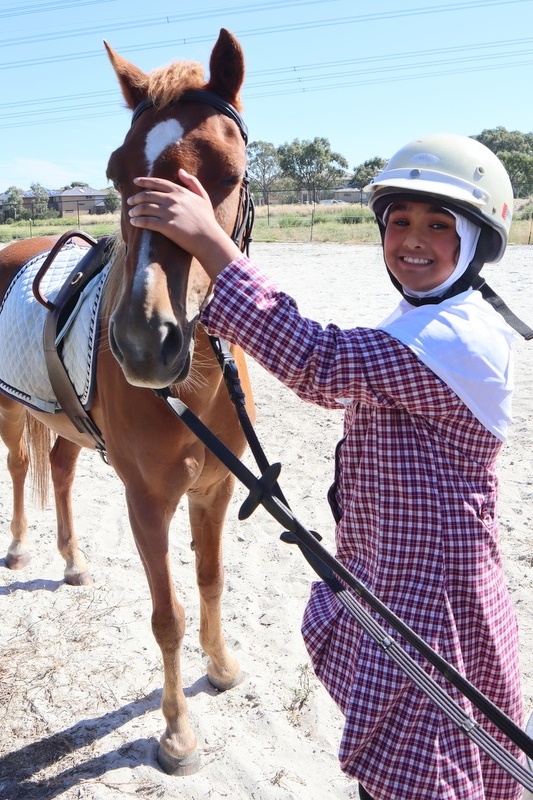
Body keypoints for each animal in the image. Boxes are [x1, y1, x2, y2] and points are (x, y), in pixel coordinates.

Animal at [0, 29, 254, 776]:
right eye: (116, 173)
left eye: (227, 173)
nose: (144, 343)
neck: (194, 383)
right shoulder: (149, 501)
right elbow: (167, 616)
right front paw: (176, 735)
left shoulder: (215, 490)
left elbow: (210, 581)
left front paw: (221, 668)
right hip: (8, 411)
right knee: (20, 469)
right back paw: (22, 549)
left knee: (57, 469)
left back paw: (74, 561)